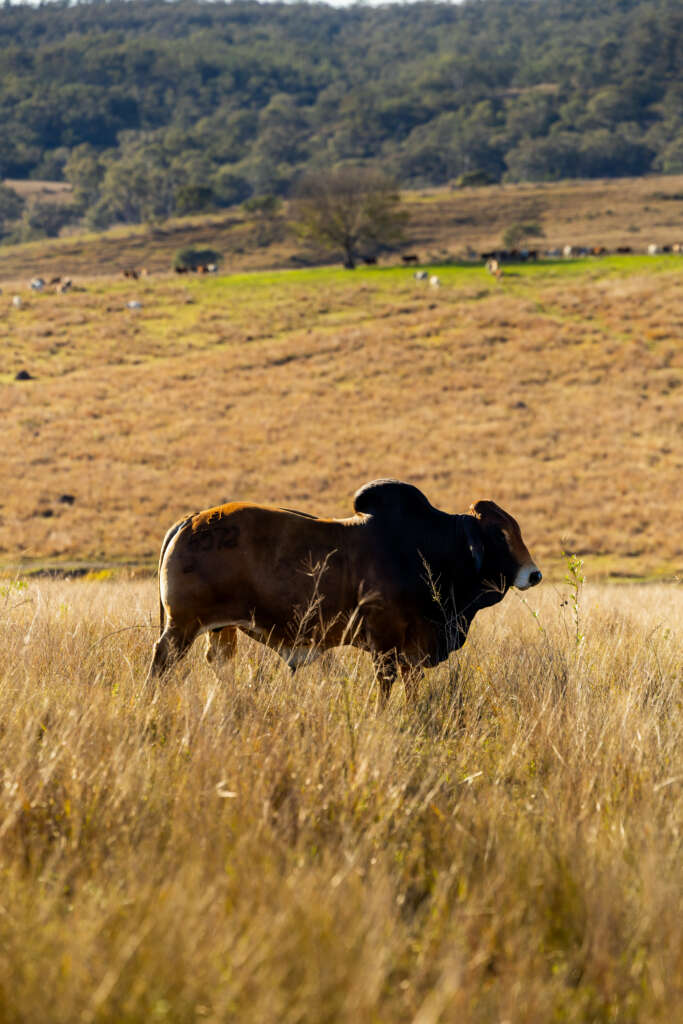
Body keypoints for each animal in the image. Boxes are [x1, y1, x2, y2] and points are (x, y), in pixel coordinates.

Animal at [146, 480, 541, 702]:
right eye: (499, 534)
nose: (533, 574)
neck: (429, 547)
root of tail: (189, 521)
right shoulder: (386, 643)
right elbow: (385, 685)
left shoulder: (413, 649)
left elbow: (412, 686)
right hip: (182, 627)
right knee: (162, 660)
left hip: (221, 628)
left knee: (220, 662)